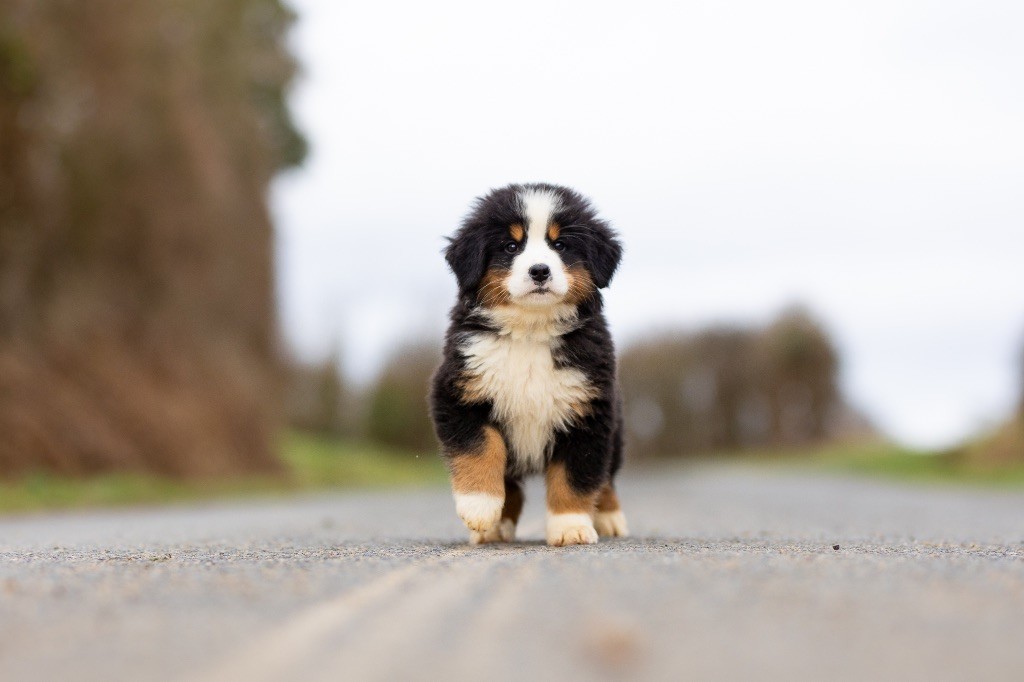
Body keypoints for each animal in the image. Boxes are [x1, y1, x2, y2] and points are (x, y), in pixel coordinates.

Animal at [430, 183, 626, 544]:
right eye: (511, 246)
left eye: (560, 245)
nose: (539, 270)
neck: (531, 331)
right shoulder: (460, 392)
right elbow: (481, 449)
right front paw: (480, 508)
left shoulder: (589, 410)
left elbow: (576, 476)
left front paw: (571, 526)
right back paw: (494, 527)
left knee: (606, 476)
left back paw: (609, 517)